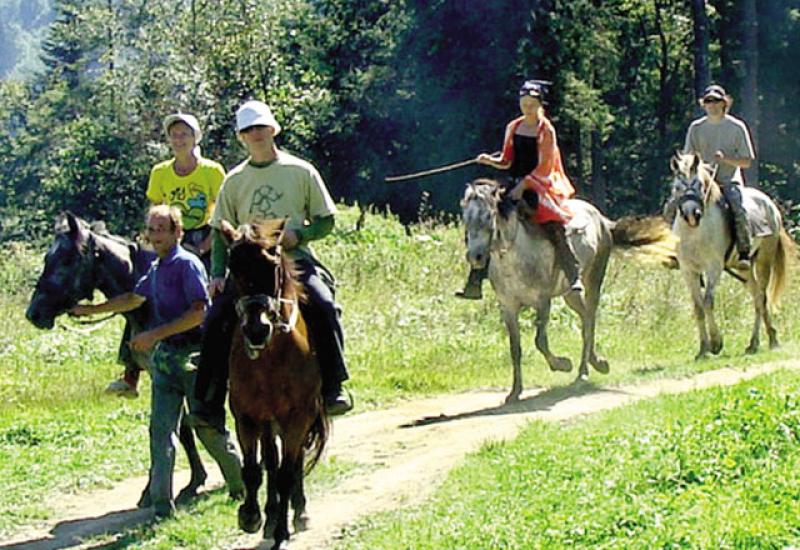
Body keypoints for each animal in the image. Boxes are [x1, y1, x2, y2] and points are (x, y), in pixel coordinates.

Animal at [26, 212, 209, 508]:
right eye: (46, 257)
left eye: (68, 259)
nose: (34, 313)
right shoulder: (162, 376)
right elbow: (178, 429)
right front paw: (182, 484)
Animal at [219, 218, 328, 548]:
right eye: (233, 267)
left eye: (273, 266)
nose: (257, 330)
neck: (269, 358)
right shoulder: (246, 416)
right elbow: (253, 470)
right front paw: (251, 516)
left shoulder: (298, 416)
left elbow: (286, 474)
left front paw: (282, 530)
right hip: (268, 422)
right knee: (270, 460)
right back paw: (269, 517)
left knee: (292, 463)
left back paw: (298, 513)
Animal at [460, 179, 616, 404]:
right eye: (466, 217)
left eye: (488, 216)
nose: (476, 257)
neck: (515, 257)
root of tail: (598, 215)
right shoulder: (508, 307)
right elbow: (515, 348)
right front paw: (515, 391)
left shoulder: (543, 302)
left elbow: (540, 341)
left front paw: (563, 364)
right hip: (570, 294)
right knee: (586, 317)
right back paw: (596, 362)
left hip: (594, 279)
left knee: (589, 322)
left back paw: (582, 373)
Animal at [668, 153, 792, 360]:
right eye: (677, 187)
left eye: (699, 184)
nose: (692, 214)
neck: (696, 232)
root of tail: (769, 204)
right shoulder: (688, 270)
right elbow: (698, 307)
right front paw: (702, 350)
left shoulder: (714, 268)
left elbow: (708, 302)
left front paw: (716, 343)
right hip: (743, 269)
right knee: (757, 296)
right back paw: (768, 338)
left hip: (763, 260)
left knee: (761, 299)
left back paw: (758, 343)